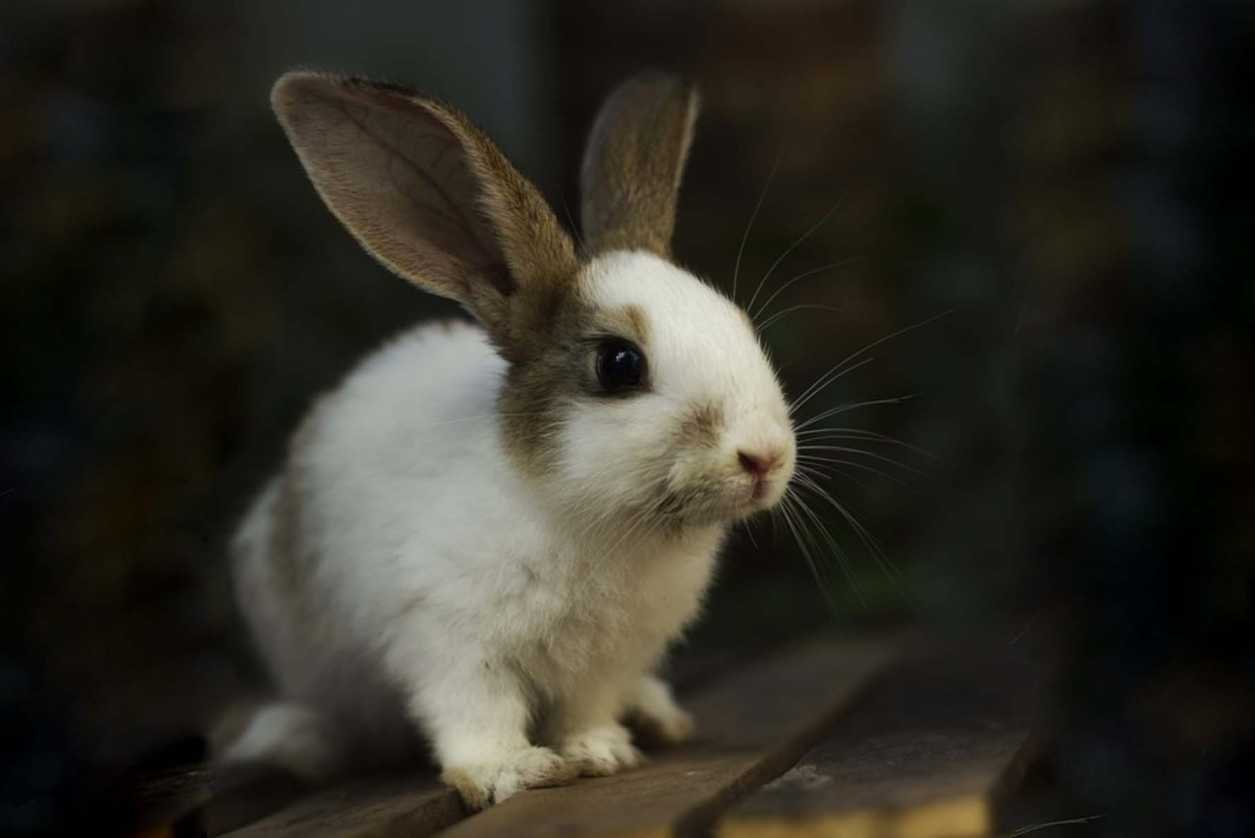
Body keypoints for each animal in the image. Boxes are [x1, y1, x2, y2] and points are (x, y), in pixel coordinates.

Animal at [217, 73, 798, 812]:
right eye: (619, 364)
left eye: (741, 325)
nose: (765, 457)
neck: (594, 518)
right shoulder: (449, 638)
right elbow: (475, 711)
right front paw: (511, 771)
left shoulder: (602, 660)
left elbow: (585, 708)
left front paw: (600, 752)